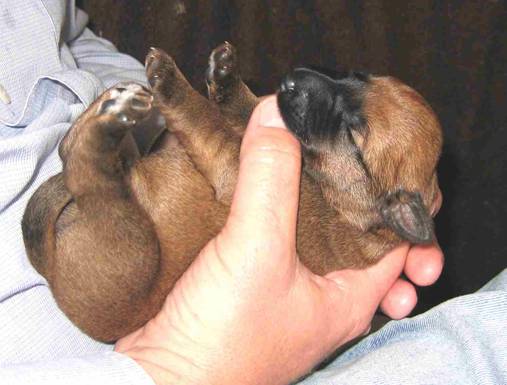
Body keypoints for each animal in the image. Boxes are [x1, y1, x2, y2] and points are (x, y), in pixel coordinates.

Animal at [22, 42, 444, 342]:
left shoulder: (234, 161)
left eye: (355, 137)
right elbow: (246, 109)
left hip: (132, 248)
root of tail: (50, 269)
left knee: (85, 170)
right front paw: (227, 77)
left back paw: (110, 119)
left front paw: (172, 83)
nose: (291, 79)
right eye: (359, 75)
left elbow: (206, 119)